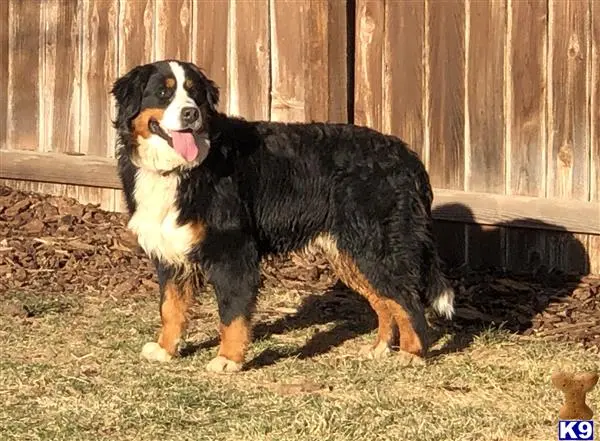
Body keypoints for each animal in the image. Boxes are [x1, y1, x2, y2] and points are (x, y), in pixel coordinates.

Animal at [110, 59, 452, 372]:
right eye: (163, 93)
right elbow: (170, 307)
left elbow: (232, 312)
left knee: (408, 301)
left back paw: (411, 354)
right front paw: (166, 349)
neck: (186, 168)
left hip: (375, 246)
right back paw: (379, 348)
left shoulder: (233, 252)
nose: (190, 113)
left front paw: (228, 359)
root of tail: (408, 157)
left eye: (194, 93)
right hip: (351, 251)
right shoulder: (170, 252)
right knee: (385, 301)